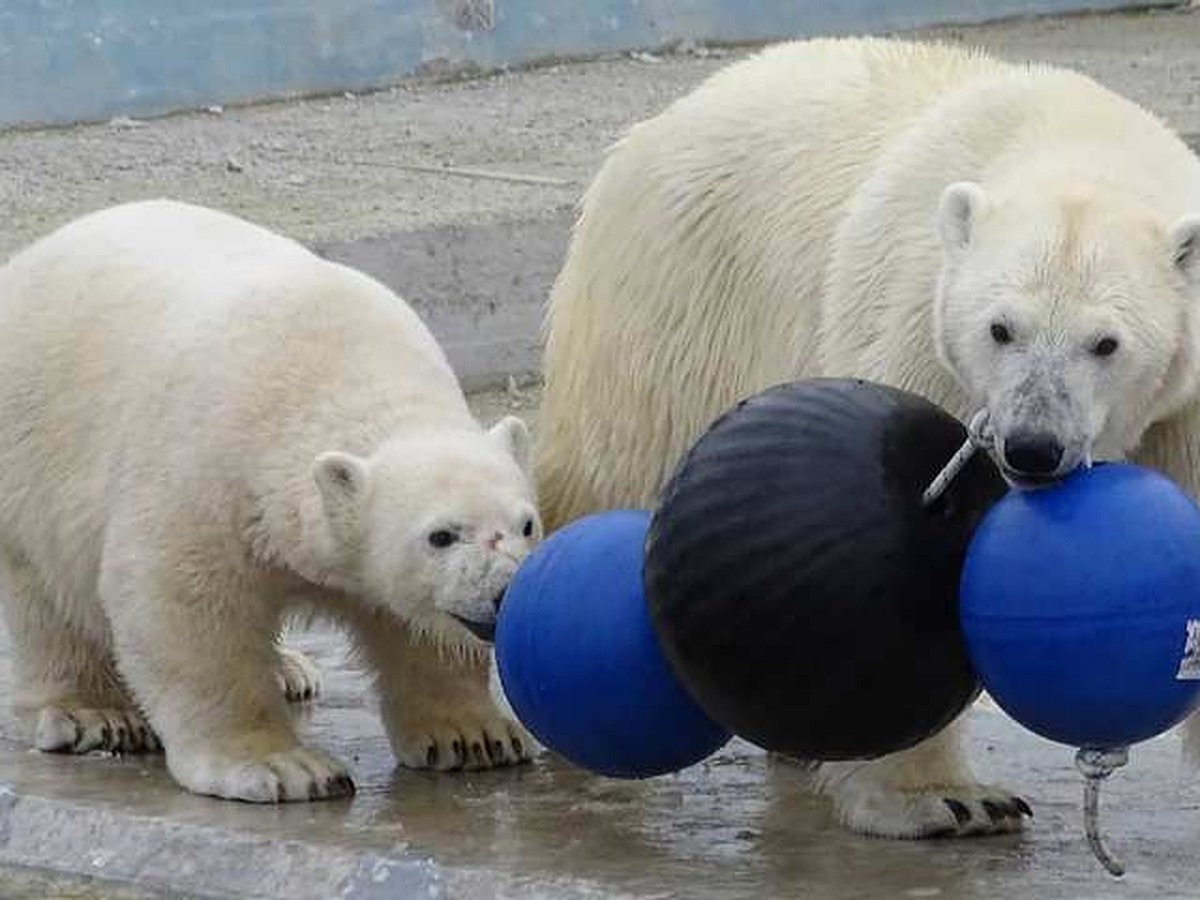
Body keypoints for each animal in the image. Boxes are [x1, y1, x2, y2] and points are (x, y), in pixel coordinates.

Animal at [0, 199, 540, 801]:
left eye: (527, 525)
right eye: (440, 535)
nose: (504, 591)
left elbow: (417, 630)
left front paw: (475, 737)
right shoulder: (206, 470)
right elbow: (184, 606)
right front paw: (282, 766)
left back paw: (288, 670)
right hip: (34, 453)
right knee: (47, 596)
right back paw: (92, 714)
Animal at [540, 35, 1200, 840]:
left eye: (1106, 343)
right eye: (1000, 328)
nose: (1032, 447)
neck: (1074, 138)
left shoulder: (1188, 400)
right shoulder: (919, 321)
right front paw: (945, 801)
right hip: (672, 306)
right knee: (609, 469)